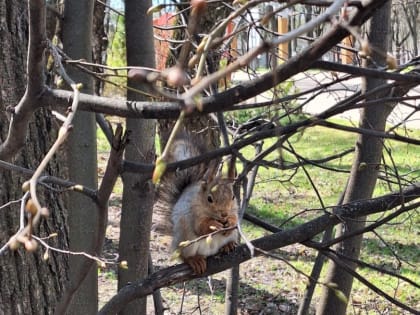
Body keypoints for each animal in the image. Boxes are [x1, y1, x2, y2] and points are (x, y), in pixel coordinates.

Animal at [153, 135, 240, 276]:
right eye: (209, 199)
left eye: (233, 197)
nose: (224, 214)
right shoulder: (193, 212)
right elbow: (200, 227)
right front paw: (214, 226)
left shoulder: (234, 209)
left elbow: (235, 218)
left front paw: (230, 222)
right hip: (186, 239)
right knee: (184, 256)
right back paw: (194, 260)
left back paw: (228, 245)